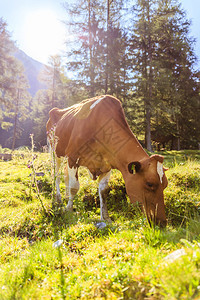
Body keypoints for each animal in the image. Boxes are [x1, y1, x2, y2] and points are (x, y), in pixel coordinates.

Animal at [46, 95, 168, 226]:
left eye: (165, 185)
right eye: (149, 183)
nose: (162, 223)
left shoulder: (107, 164)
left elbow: (104, 191)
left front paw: (105, 218)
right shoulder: (72, 158)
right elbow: (74, 187)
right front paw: (69, 210)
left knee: (65, 175)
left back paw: (66, 196)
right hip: (54, 153)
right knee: (56, 175)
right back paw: (58, 199)